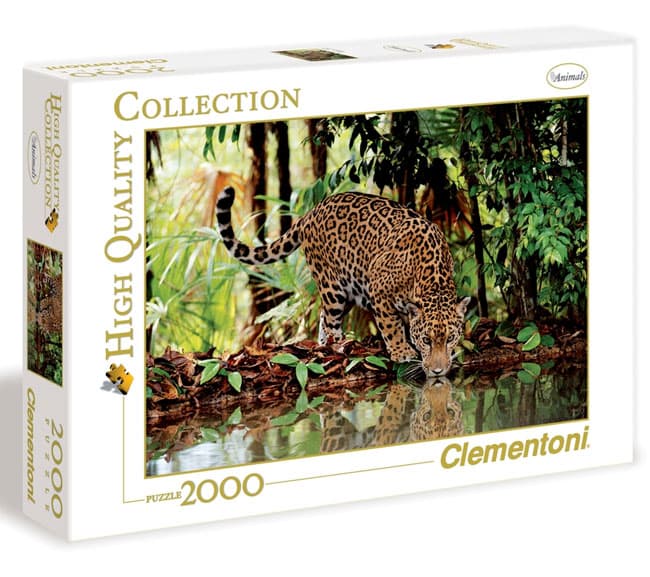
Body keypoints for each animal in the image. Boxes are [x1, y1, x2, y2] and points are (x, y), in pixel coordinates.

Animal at [216, 186, 470, 377]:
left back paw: (323, 345)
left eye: (450, 338)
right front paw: (402, 352)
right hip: (332, 286)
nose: (438, 371)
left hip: (348, 289)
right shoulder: (378, 290)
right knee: (330, 319)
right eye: (426, 340)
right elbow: (391, 326)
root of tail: (311, 212)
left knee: (322, 316)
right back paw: (335, 345)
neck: (431, 281)